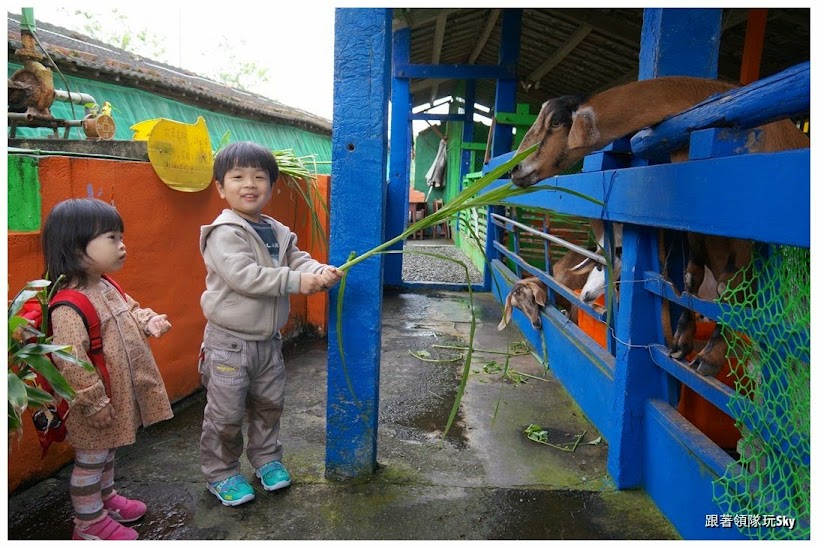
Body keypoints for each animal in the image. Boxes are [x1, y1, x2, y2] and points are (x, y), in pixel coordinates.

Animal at [506, 76, 808, 376]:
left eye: (556, 122)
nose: (514, 170)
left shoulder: (743, 230)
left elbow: (729, 289)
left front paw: (710, 356)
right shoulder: (695, 229)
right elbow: (690, 277)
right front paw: (681, 342)